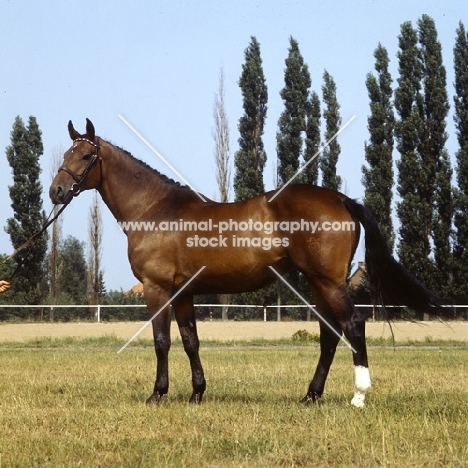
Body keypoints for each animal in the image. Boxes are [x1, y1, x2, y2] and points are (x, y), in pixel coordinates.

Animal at [50, 119, 446, 406]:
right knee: (329, 335)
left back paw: (358, 396)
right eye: (67, 153)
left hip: (329, 282)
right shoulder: (183, 293)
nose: (56, 191)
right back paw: (310, 395)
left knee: (353, 325)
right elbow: (191, 341)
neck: (155, 210)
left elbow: (161, 341)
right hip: (318, 283)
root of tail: (340, 199)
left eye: (84, 156)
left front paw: (157, 394)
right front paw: (197, 393)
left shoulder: (157, 289)